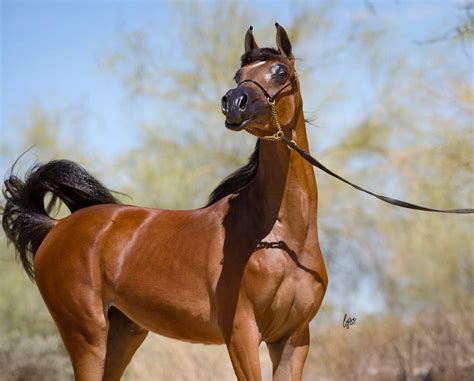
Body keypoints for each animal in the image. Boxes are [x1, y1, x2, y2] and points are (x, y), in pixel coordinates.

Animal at [3, 24, 328, 380]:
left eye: (280, 71)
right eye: (238, 74)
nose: (233, 103)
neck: (280, 238)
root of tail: (56, 227)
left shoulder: (293, 339)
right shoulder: (242, 334)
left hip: (124, 332)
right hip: (86, 336)